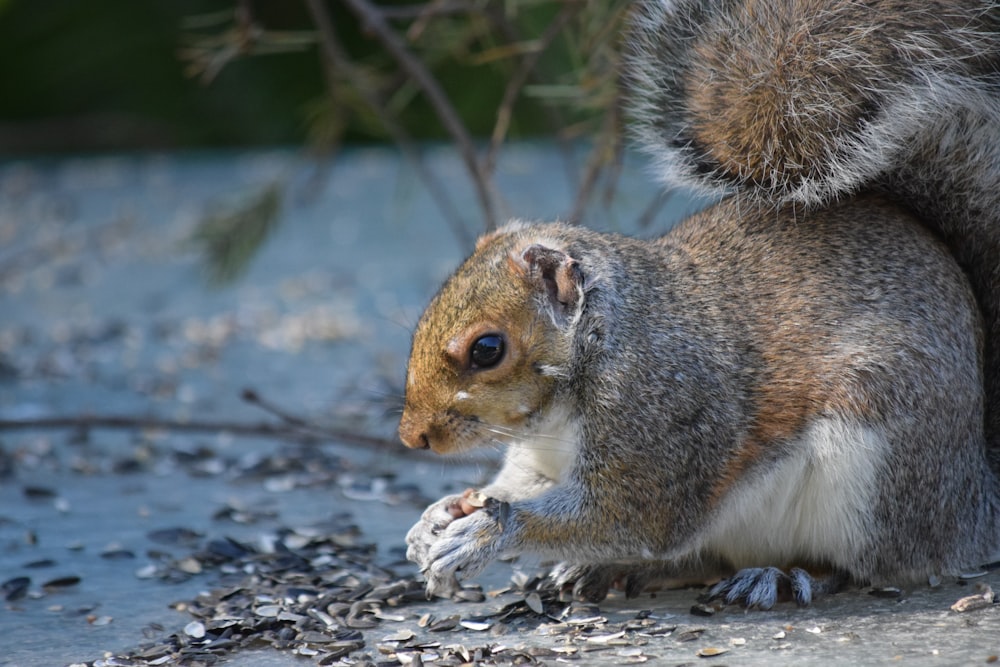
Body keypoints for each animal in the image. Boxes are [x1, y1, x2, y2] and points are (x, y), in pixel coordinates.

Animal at [396, 0, 1000, 612]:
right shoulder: (542, 456)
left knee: (867, 564)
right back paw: (610, 571)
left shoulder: (663, 418)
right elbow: (518, 485)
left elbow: (631, 517)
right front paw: (439, 516)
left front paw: (485, 533)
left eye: (487, 349)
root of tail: (975, 499)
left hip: (875, 471)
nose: (412, 437)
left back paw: (781, 576)